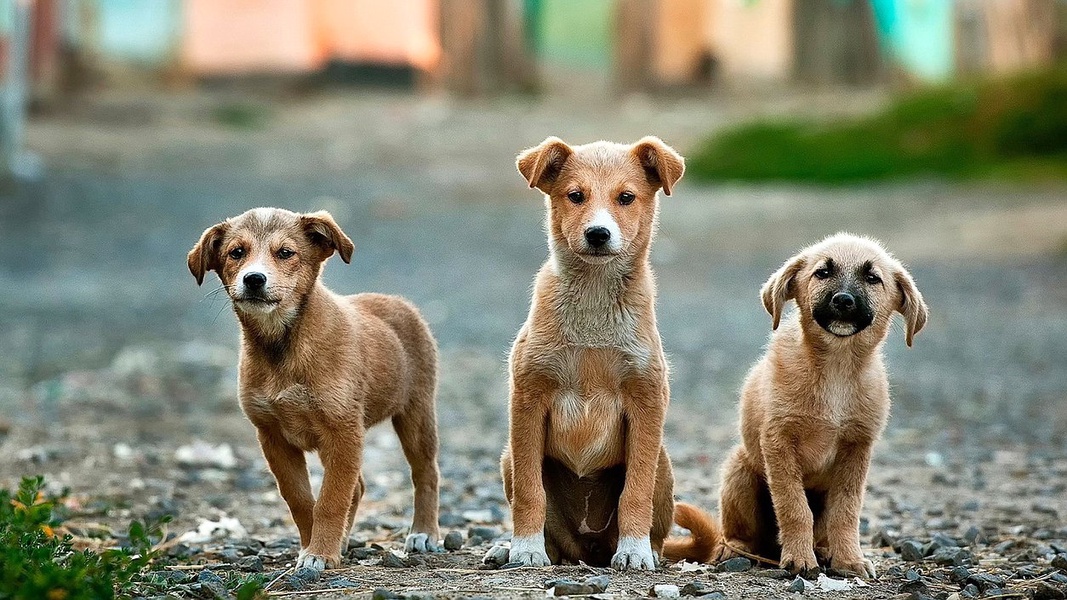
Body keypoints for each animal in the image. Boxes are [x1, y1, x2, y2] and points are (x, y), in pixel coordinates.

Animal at [187, 208, 441, 567]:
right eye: (236, 252)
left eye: (285, 253)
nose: (254, 279)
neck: (282, 346)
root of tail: (397, 301)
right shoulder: (273, 436)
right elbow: (301, 499)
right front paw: (313, 547)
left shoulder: (343, 430)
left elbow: (332, 499)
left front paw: (320, 553)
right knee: (358, 487)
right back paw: (344, 541)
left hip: (416, 414)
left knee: (425, 473)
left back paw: (423, 533)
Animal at [484, 136, 682, 567]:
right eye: (576, 196)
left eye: (626, 197)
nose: (598, 234)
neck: (593, 299)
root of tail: (588, 549)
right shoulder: (528, 397)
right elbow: (529, 491)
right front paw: (524, 548)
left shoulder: (646, 400)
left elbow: (635, 492)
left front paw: (635, 551)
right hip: (508, 457)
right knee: (552, 535)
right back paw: (511, 548)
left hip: (663, 462)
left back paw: (647, 551)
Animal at [665, 232, 926, 576]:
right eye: (822, 272)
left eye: (873, 278)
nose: (843, 300)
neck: (836, 368)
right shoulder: (778, 442)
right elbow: (794, 507)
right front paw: (800, 559)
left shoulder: (857, 449)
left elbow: (846, 511)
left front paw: (849, 559)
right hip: (739, 470)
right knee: (737, 533)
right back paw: (735, 549)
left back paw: (825, 551)